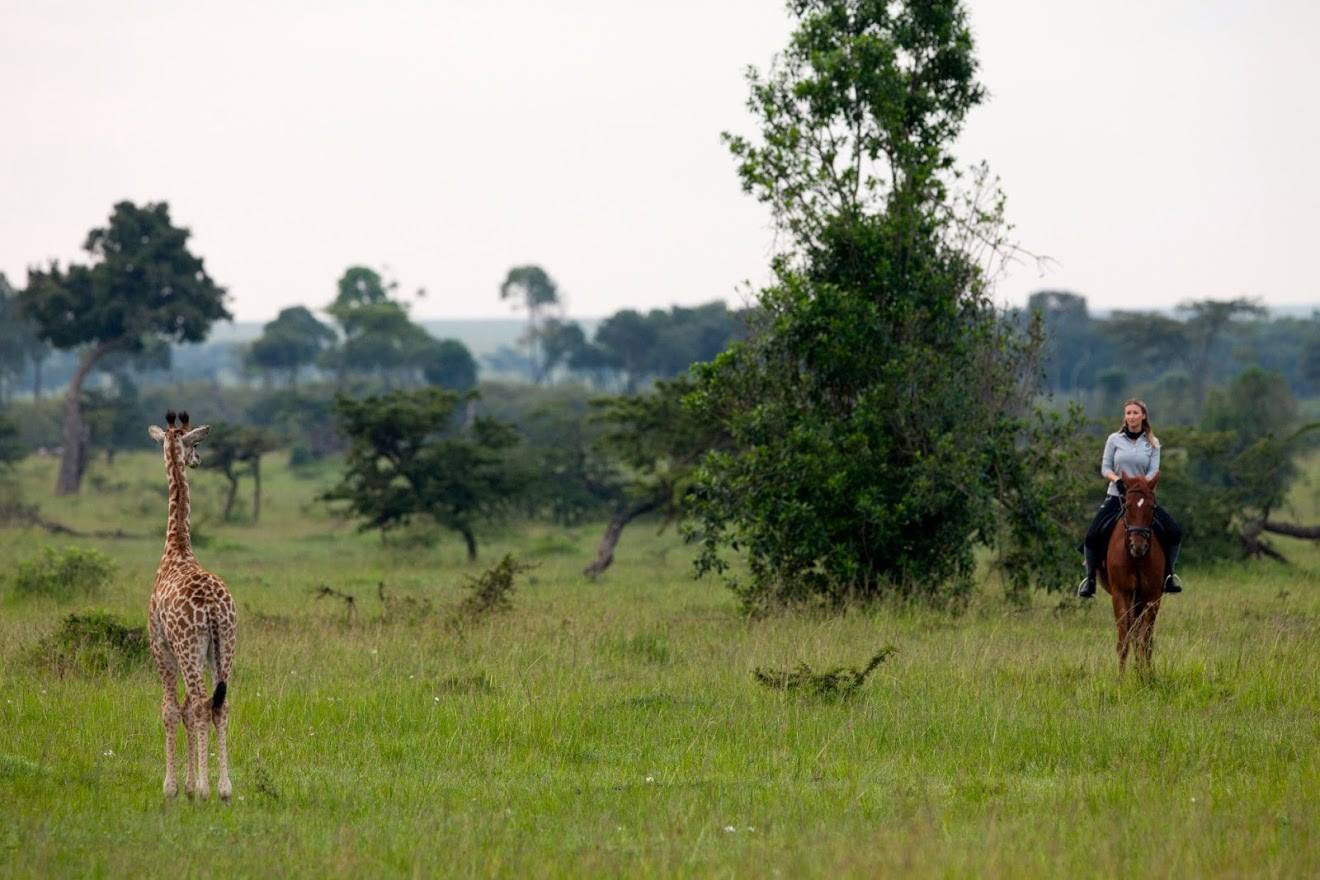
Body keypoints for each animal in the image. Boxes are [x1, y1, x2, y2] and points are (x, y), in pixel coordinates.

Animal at [1097, 472, 1166, 673]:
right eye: (1127, 506)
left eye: (1152, 507)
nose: (1138, 546)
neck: (1136, 559)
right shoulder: (1121, 593)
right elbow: (1124, 641)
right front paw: (1121, 678)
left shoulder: (1152, 596)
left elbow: (1145, 640)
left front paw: (1146, 675)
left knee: (1142, 637)